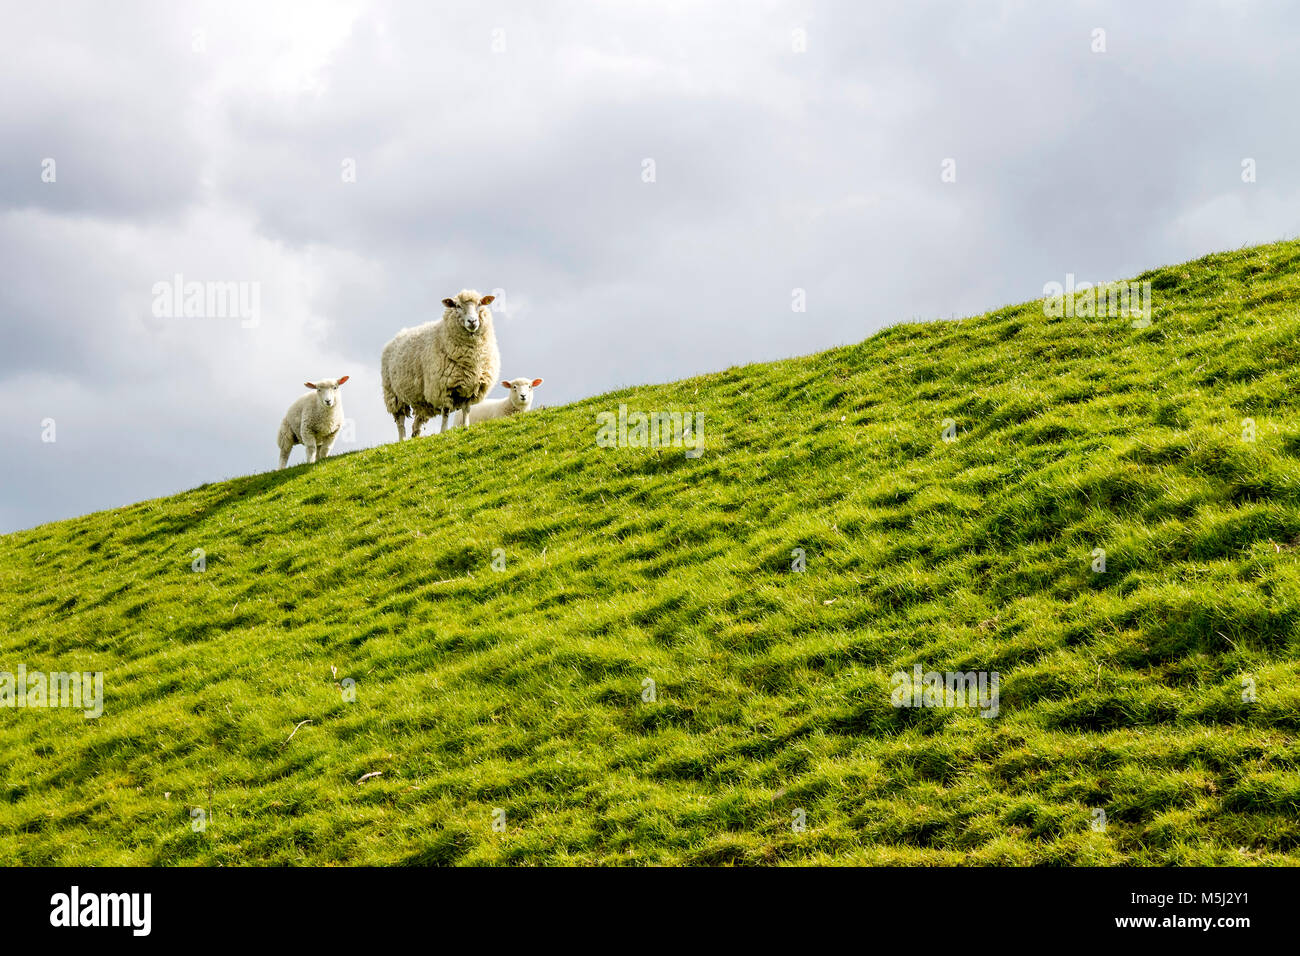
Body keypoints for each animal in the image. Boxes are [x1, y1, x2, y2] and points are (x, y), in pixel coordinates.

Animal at [379, 287, 499, 442]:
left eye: (480, 304)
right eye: (457, 306)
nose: (472, 321)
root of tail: (396, 336)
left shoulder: (470, 385)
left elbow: (466, 409)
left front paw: (466, 427)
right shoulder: (442, 387)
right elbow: (446, 411)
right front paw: (443, 431)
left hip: (421, 399)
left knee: (417, 421)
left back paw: (415, 436)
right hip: (393, 394)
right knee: (400, 419)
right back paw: (402, 439)